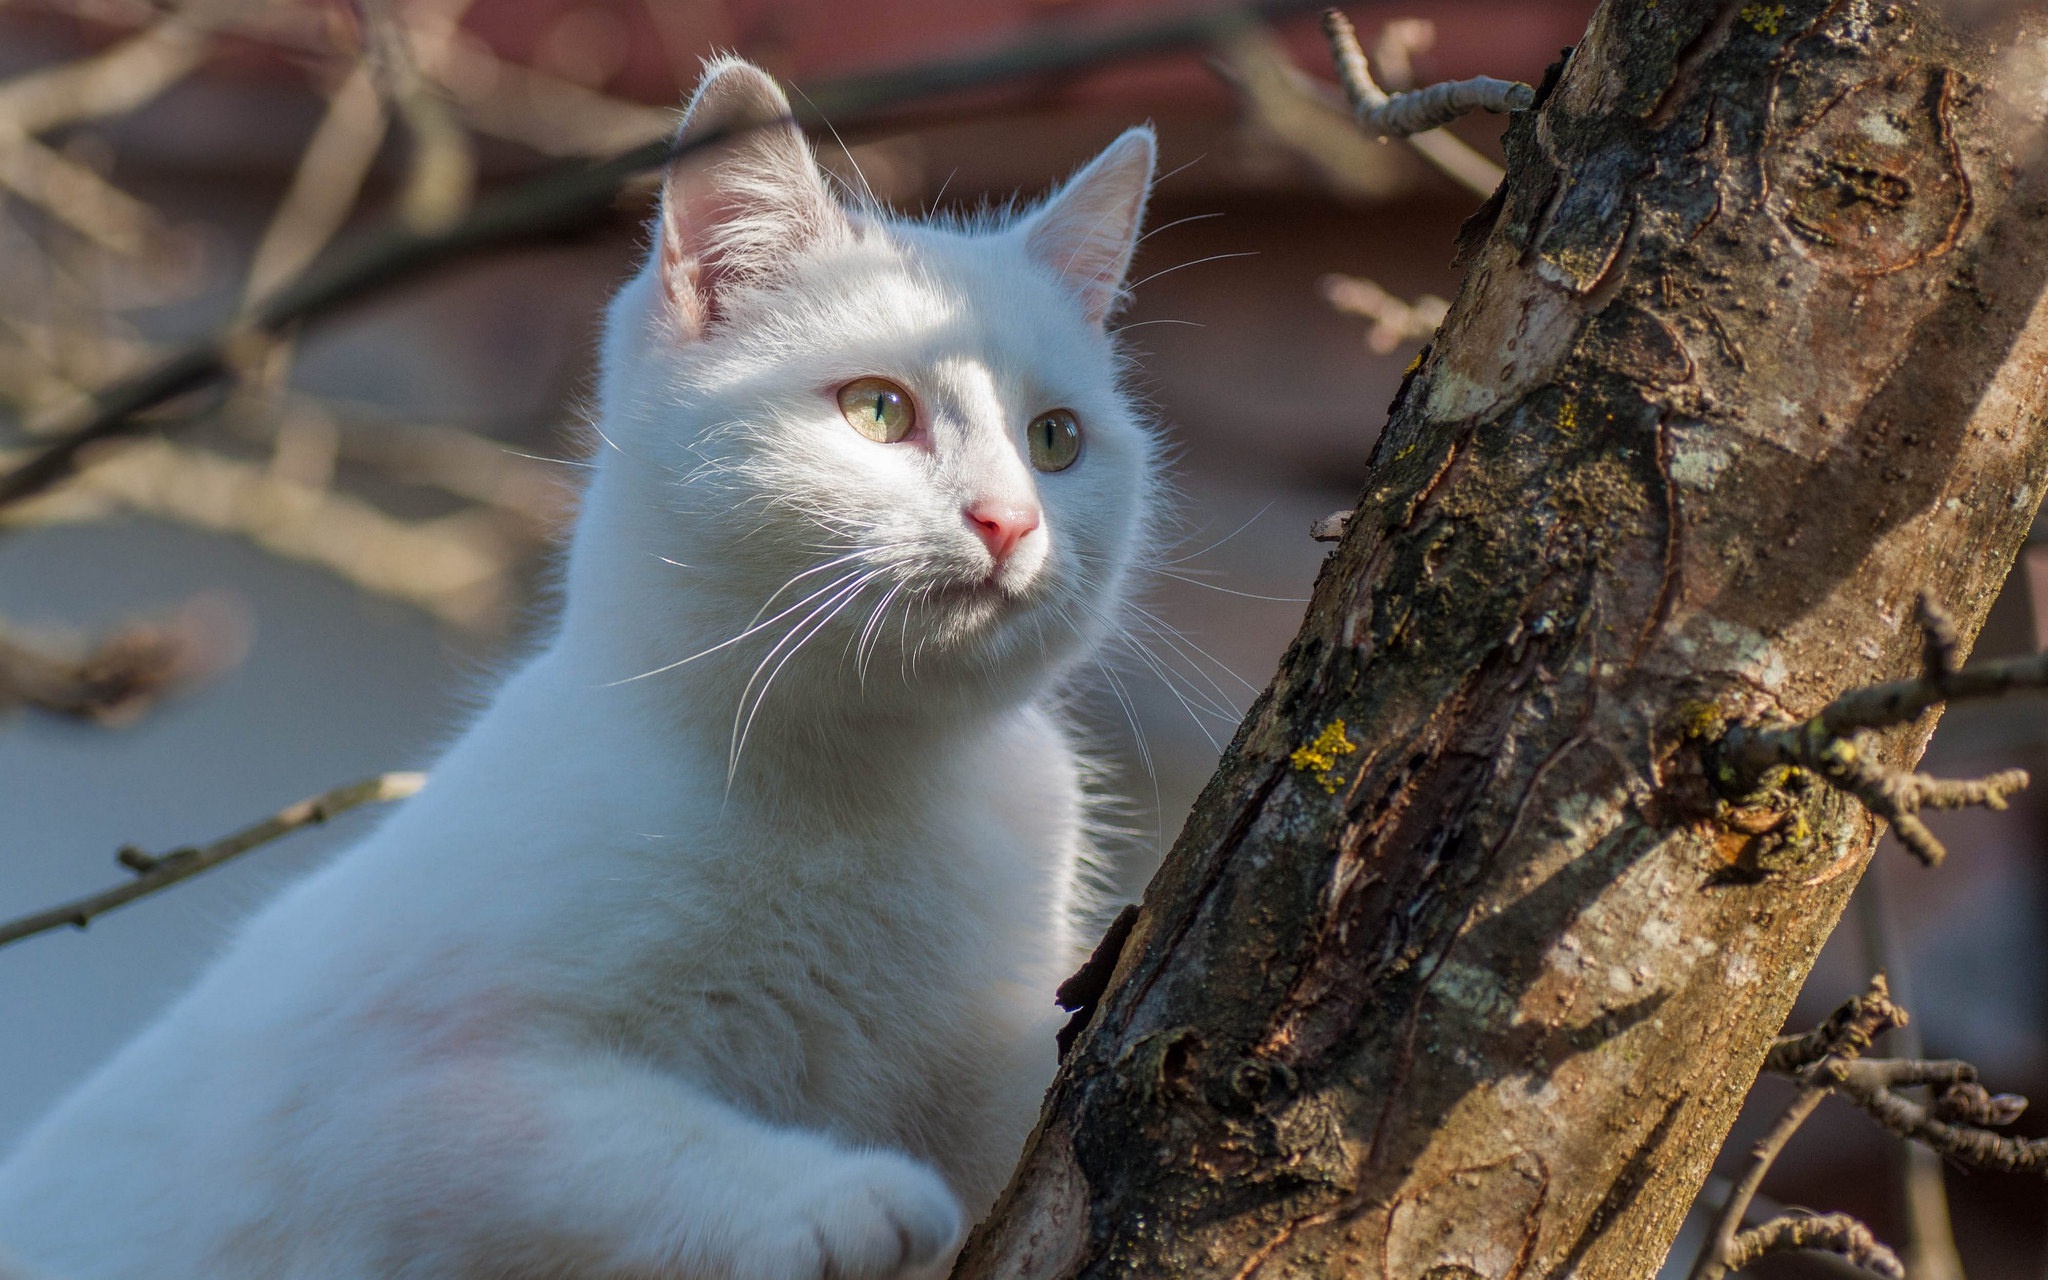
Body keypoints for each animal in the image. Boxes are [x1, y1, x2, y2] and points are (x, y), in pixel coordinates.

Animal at [0, 57, 1155, 1277]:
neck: (864, 791)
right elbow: (619, 1145)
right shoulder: (388, 1102)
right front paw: (843, 1198)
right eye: (878, 409)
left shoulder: (998, 1051)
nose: (1008, 521)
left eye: (1056, 440)